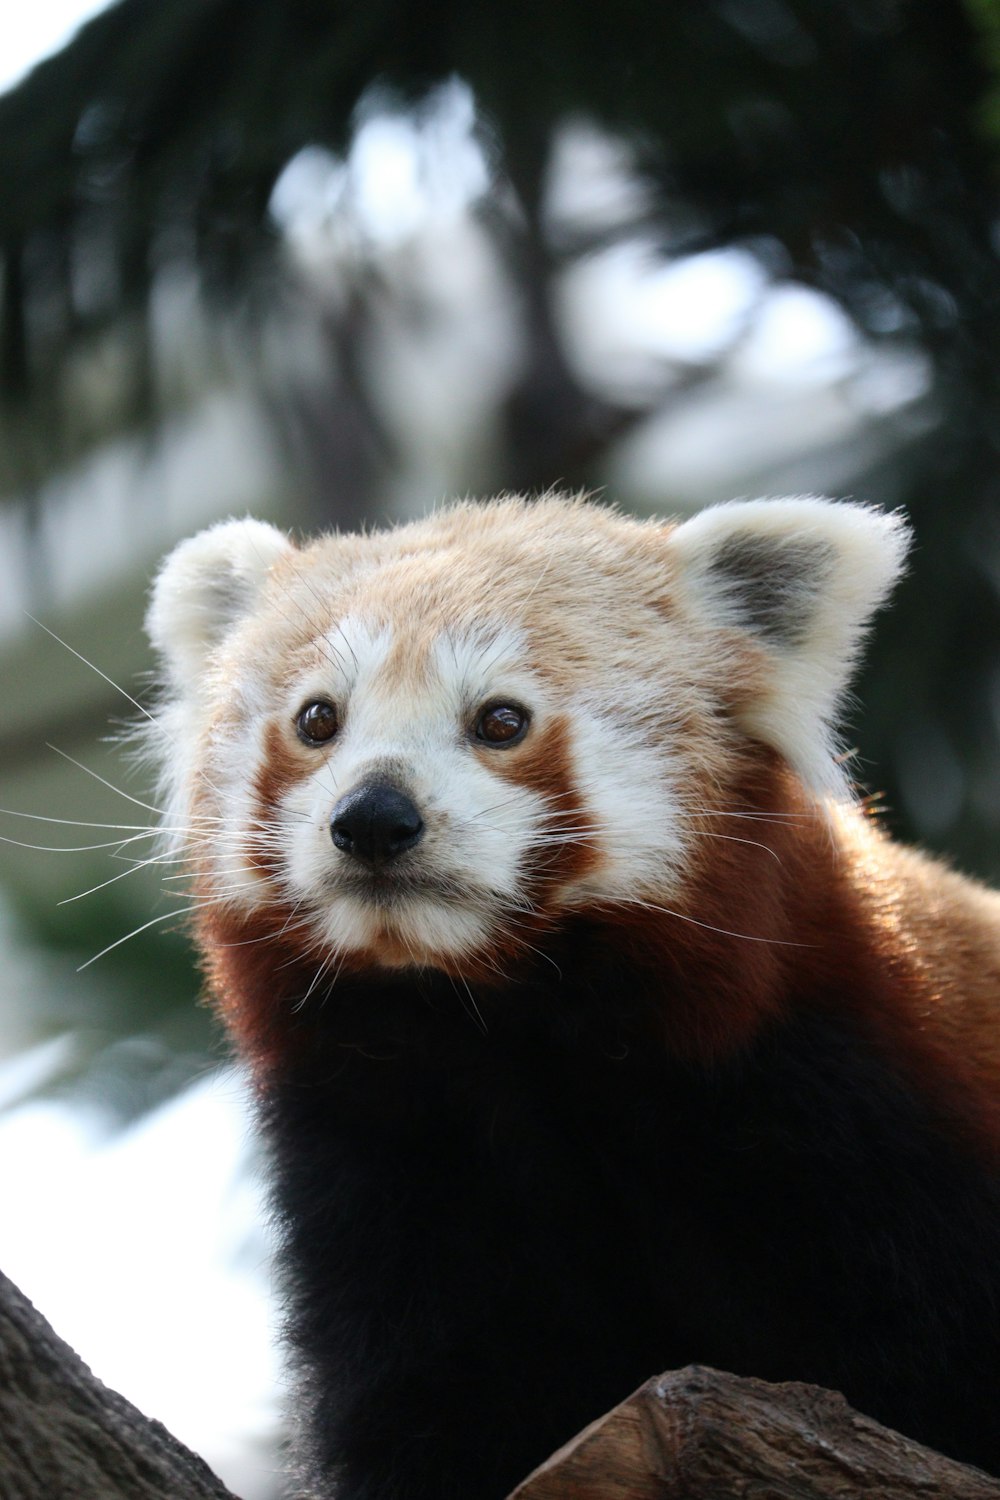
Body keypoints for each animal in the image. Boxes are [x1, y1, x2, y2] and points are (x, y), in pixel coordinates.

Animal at [146, 498, 1000, 1494]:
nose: (374, 819)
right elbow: (427, 1383)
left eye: (501, 720)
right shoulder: (386, 1171)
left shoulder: (856, 1104)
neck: (508, 1025)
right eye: (318, 719)